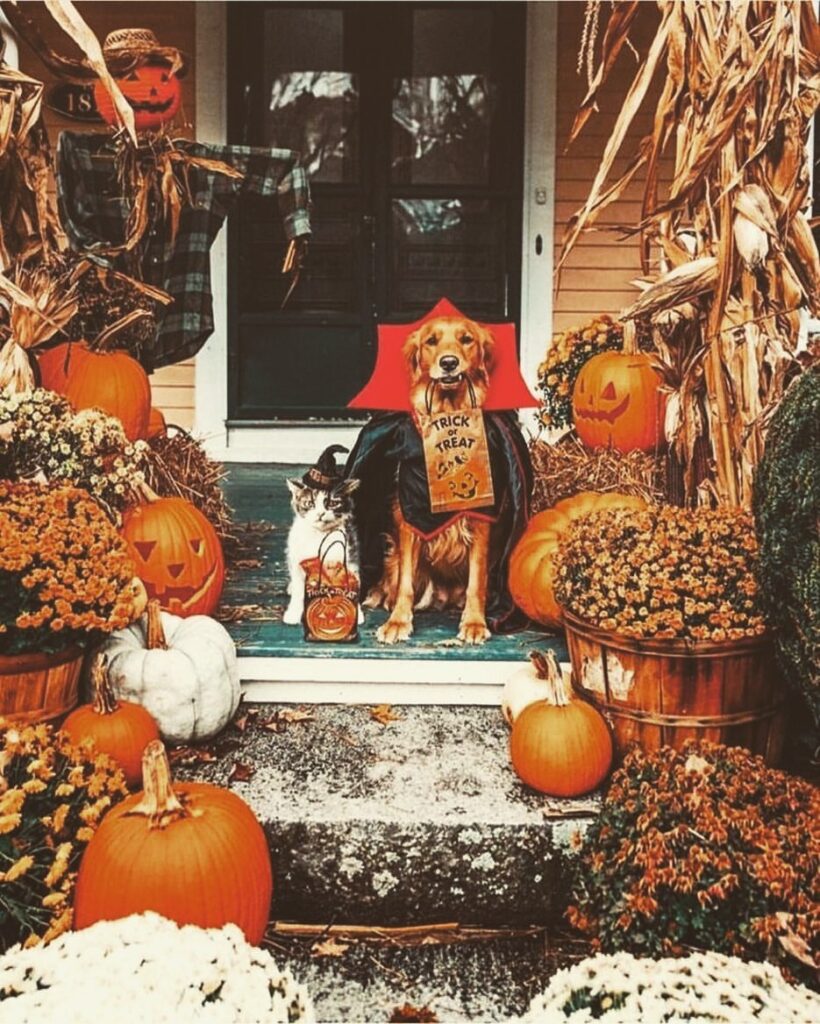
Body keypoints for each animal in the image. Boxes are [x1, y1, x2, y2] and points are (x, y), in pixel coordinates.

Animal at [368, 315, 493, 643]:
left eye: (466, 339)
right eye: (431, 341)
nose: (449, 363)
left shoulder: (481, 519)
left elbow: (477, 581)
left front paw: (474, 623)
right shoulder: (409, 518)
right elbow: (405, 584)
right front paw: (398, 621)